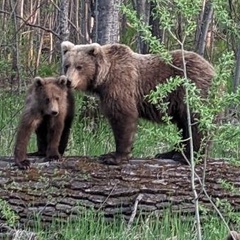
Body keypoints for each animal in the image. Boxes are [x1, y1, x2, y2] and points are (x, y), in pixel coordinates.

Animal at [61, 41, 215, 165]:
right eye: (67, 65)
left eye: (79, 66)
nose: (68, 81)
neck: (104, 78)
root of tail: (212, 68)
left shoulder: (120, 85)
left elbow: (123, 117)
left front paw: (113, 156)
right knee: (183, 124)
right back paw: (169, 153)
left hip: (191, 90)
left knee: (196, 122)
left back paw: (189, 157)